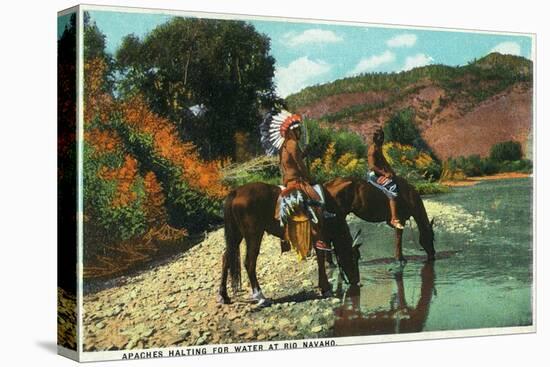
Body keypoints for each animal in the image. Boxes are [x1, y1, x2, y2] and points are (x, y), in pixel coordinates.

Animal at [220, 183, 362, 306]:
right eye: (353, 257)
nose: (356, 281)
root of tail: (236, 192)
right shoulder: (318, 237)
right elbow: (321, 259)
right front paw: (325, 288)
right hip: (253, 235)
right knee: (249, 263)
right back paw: (261, 297)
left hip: (236, 235)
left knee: (226, 258)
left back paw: (224, 296)